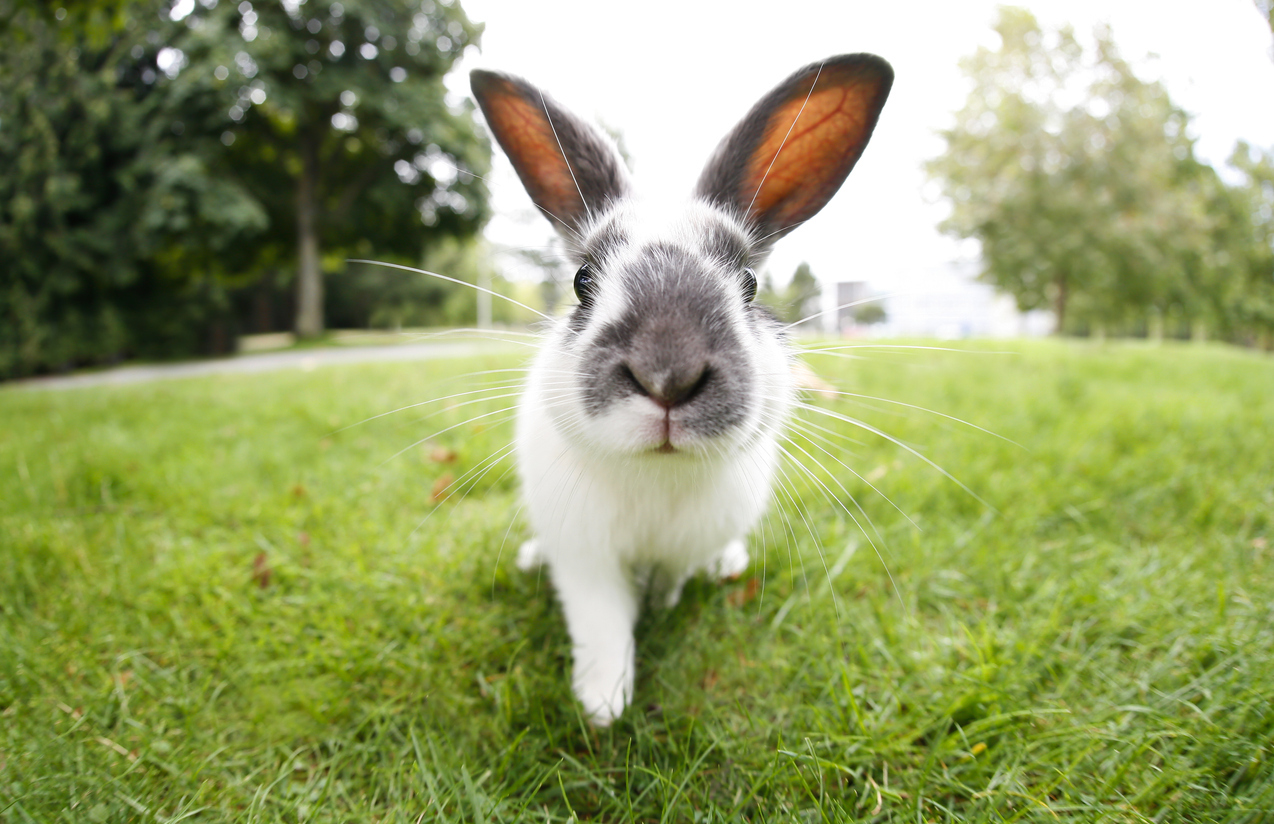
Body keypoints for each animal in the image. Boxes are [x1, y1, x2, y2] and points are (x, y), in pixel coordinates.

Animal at [469, 54, 893, 725]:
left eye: (749, 284)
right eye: (582, 281)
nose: (667, 375)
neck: (657, 474)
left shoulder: (682, 548)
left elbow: (668, 583)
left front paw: (659, 612)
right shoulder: (586, 561)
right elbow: (604, 625)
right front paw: (602, 704)